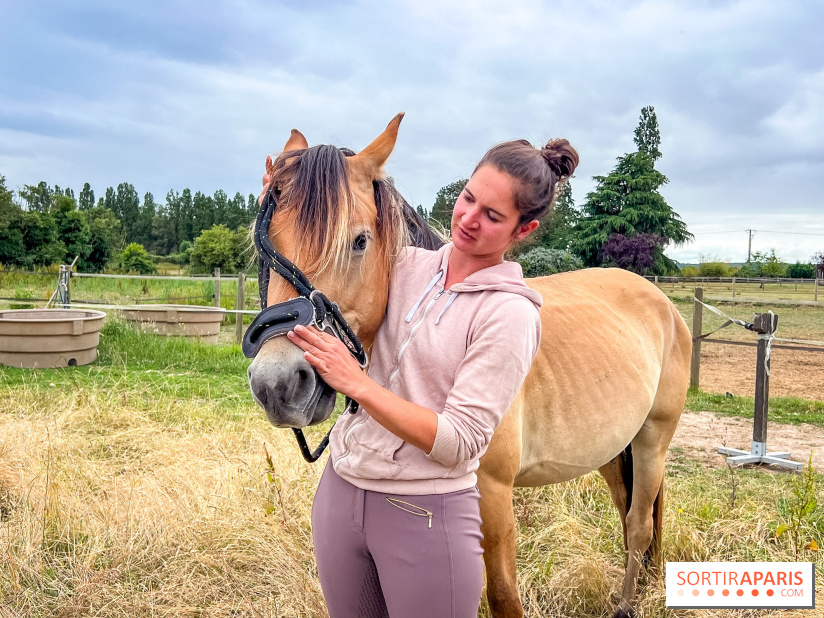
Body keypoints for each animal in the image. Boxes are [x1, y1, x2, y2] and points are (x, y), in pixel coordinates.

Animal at [246, 114, 692, 618]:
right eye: (266, 247)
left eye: (358, 241)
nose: (278, 384)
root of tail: (661, 300)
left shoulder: (494, 497)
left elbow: (503, 596)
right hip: (615, 448)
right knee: (628, 510)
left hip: (652, 440)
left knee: (638, 524)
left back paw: (625, 604)